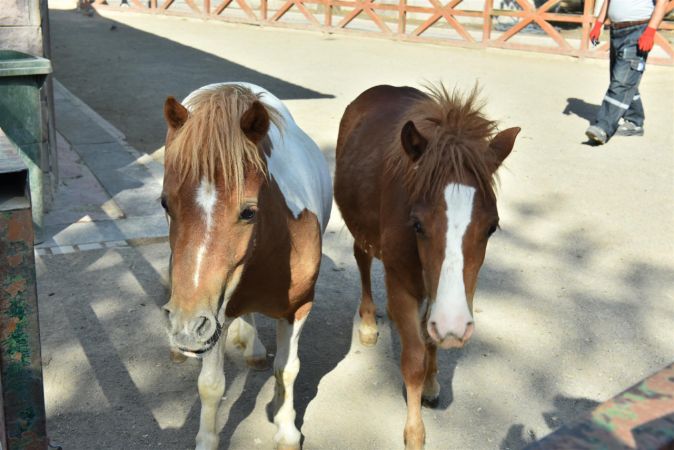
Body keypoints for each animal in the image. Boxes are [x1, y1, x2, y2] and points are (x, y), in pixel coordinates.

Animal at [163, 82, 330, 448]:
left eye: (249, 212)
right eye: (165, 204)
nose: (186, 327)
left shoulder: (298, 309)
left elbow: (287, 369)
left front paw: (286, 428)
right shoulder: (215, 317)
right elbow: (211, 385)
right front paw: (207, 440)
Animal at [334, 85, 516, 450]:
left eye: (491, 228)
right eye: (417, 224)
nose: (455, 327)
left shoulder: (448, 292)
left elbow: (430, 336)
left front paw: (432, 384)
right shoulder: (403, 282)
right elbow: (414, 359)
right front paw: (415, 432)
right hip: (362, 232)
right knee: (362, 259)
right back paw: (368, 322)